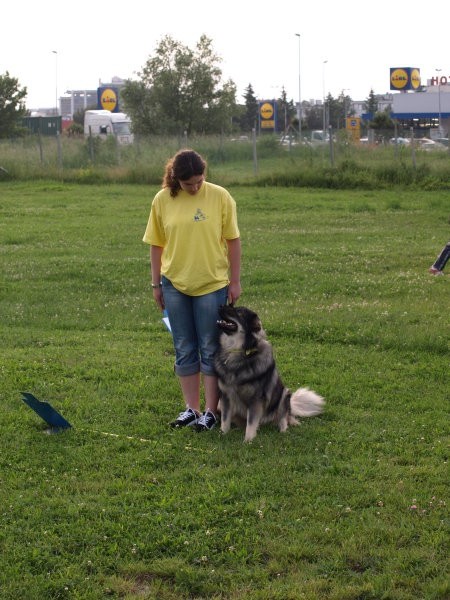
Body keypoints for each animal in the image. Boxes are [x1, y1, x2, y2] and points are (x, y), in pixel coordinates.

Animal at [214, 304, 324, 440]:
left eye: (239, 312)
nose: (220, 305)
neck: (237, 352)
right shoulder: (225, 396)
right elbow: (225, 420)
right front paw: (223, 434)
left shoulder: (255, 400)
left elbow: (251, 423)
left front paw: (248, 440)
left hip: (284, 395)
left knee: (284, 418)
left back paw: (284, 429)